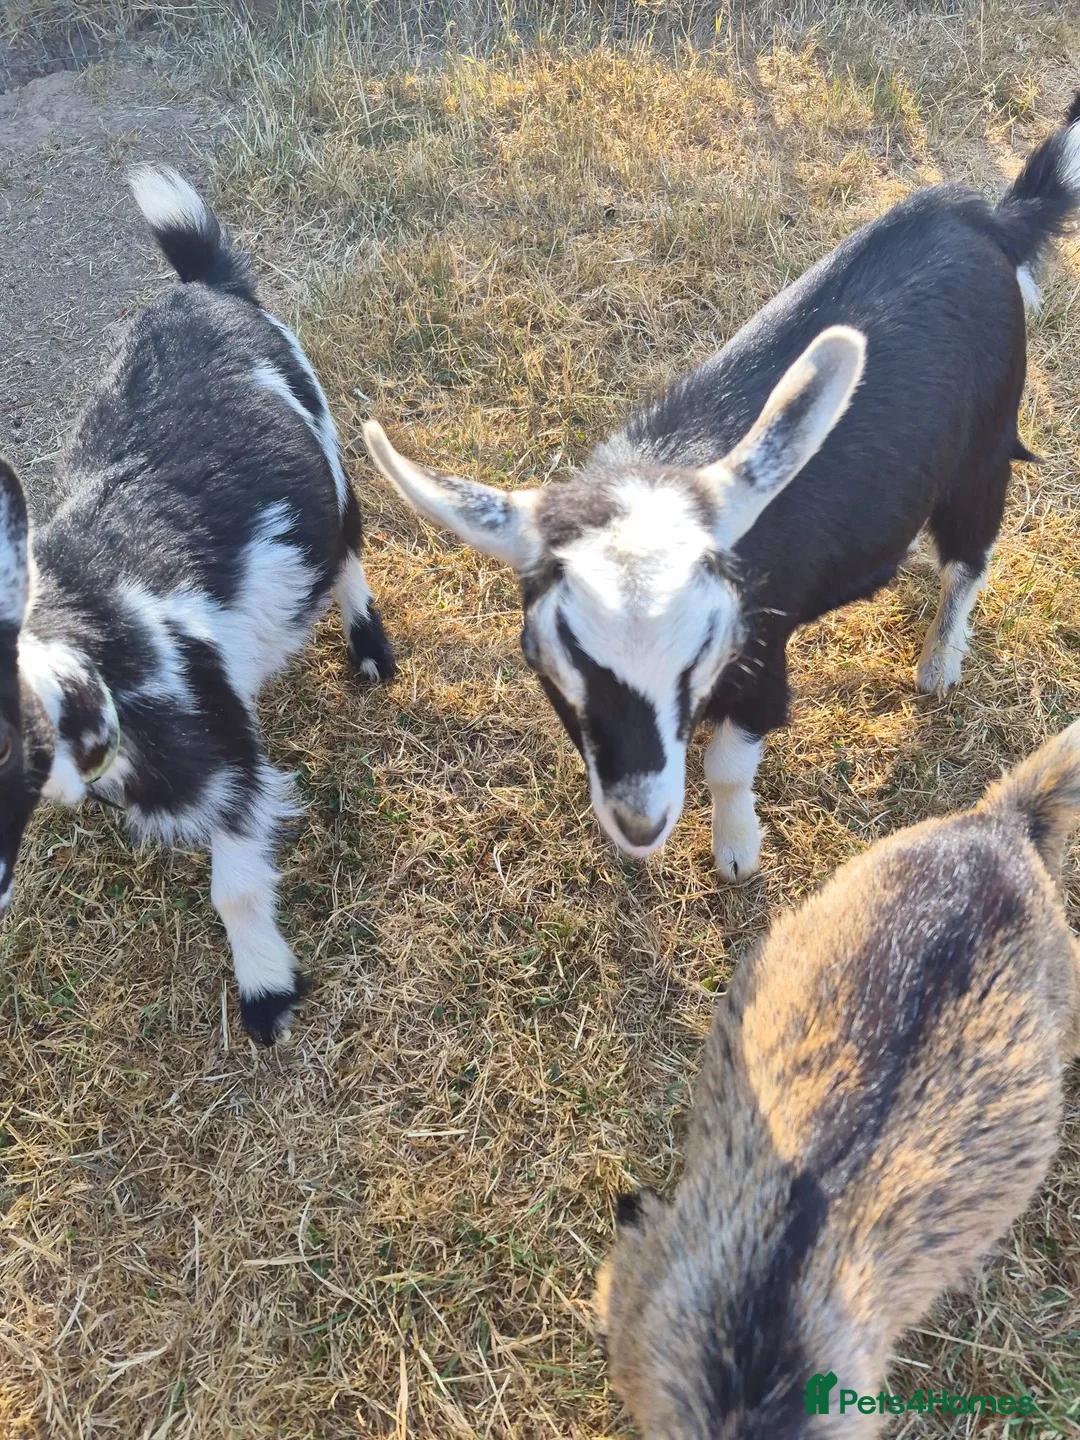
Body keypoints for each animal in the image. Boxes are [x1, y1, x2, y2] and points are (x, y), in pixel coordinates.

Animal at [0, 168, 395, 1044]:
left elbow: (236, 886)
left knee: (348, 547)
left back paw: (370, 649)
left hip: (326, 446)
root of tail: (204, 287)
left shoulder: (225, 758)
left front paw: (267, 992)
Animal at [363, 95, 1080, 881]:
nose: (641, 823)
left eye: (703, 651)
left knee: (970, 552)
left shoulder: (762, 659)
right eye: (548, 661)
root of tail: (987, 220)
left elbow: (729, 766)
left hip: (984, 444)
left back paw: (939, 661)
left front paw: (736, 853)